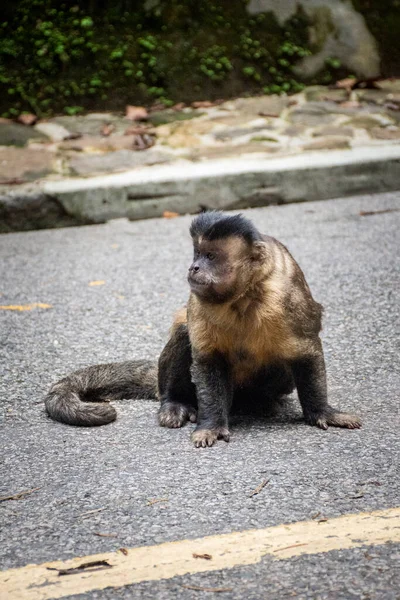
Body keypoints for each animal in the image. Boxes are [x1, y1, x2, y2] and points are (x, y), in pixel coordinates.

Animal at [45, 211, 360, 446]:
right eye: (197, 254)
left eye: (210, 256)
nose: (193, 267)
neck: (244, 295)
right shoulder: (200, 300)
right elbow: (207, 361)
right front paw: (212, 425)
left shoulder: (287, 293)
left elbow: (306, 350)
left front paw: (322, 412)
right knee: (184, 335)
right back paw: (175, 402)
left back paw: (262, 402)